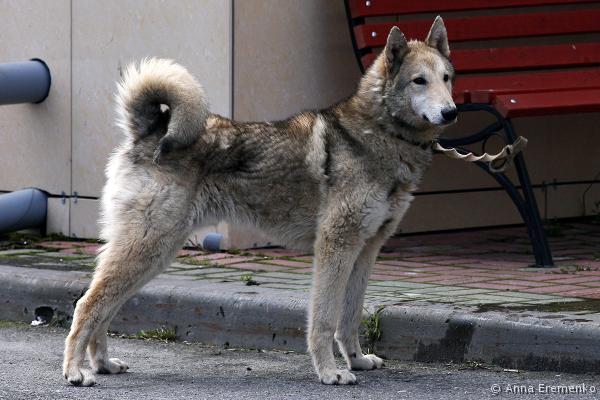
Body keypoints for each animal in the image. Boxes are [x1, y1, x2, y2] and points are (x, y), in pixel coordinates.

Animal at [63, 16, 456, 386]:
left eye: (447, 77)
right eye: (419, 81)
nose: (452, 112)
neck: (379, 134)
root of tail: (149, 130)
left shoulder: (365, 251)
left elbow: (349, 317)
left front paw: (356, 360)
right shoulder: (335, 248)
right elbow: (325, 320)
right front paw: (330, 372)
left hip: (151, 255)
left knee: (105, 308)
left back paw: (102, 363)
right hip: (147, 250)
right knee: (87, 304)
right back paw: (75, 371)